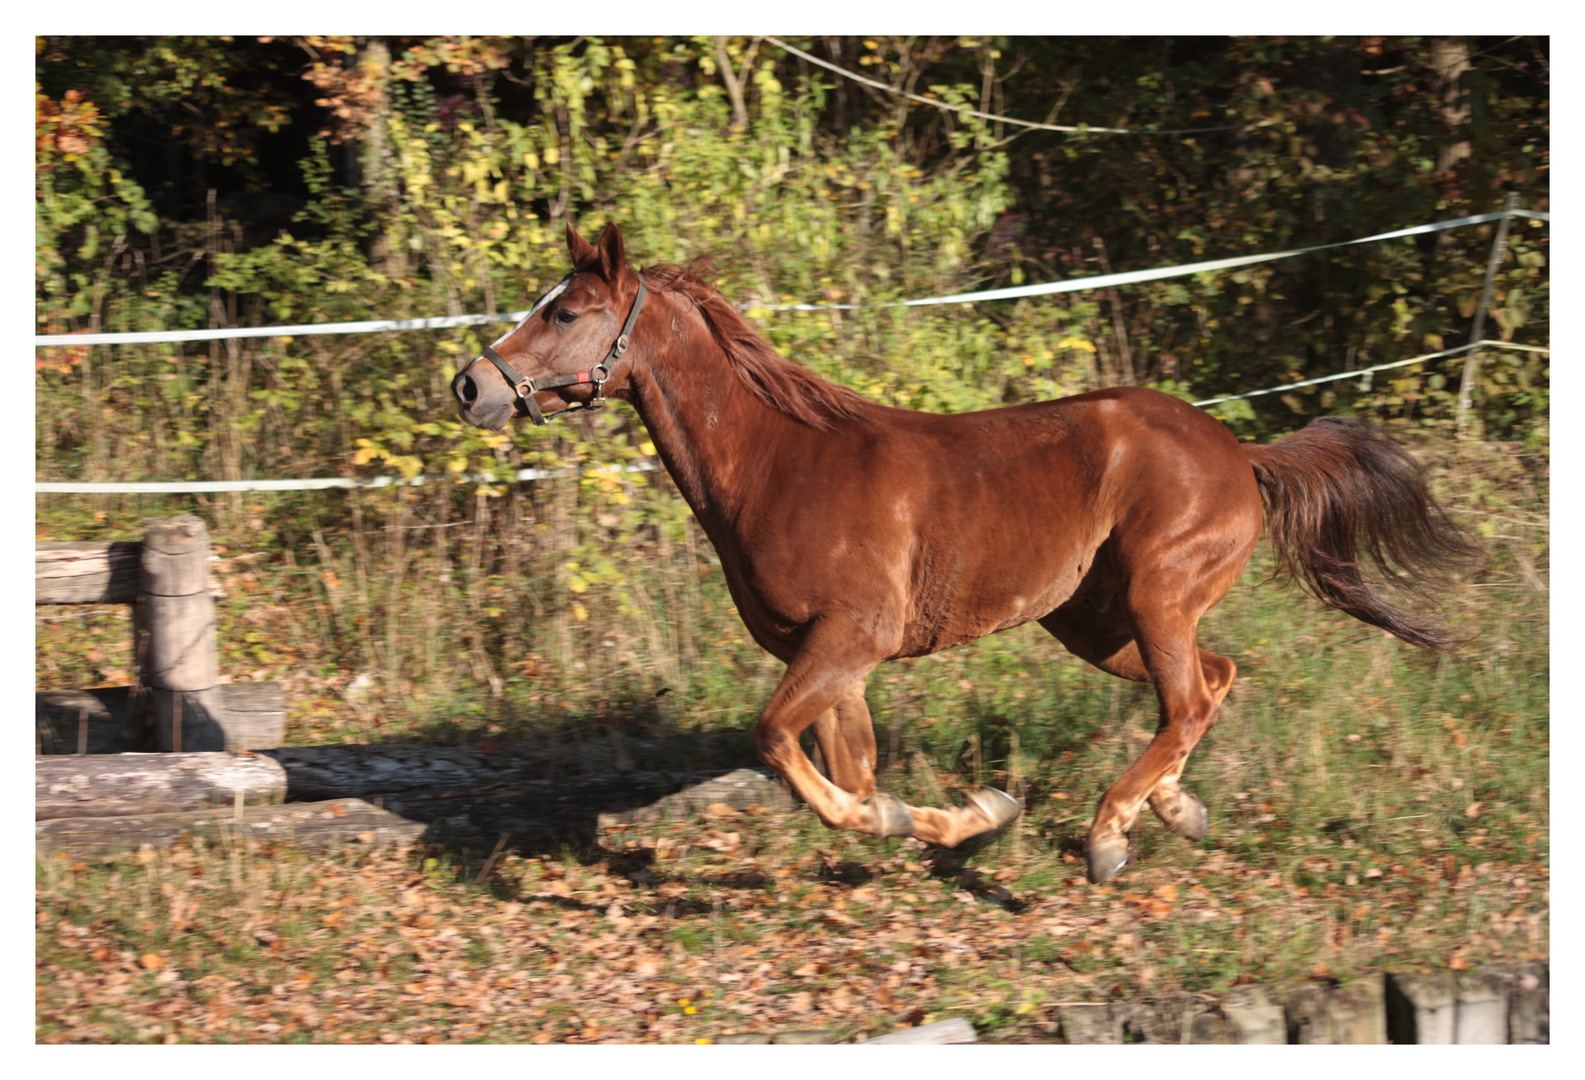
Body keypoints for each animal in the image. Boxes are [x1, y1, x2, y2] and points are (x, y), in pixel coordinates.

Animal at [450, 223, 1470, 881]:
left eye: (567, 313)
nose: (471, 386)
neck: (779, 465)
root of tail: (1237, 451)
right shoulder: (832, 661)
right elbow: (852, 774)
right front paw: (968, 816)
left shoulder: (849, 642)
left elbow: (785, 749)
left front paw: (964, 815)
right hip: (1096, 623)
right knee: (1211, 683)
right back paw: (1172, 810)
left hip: (1155, 598)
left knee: (1186, 699)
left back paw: (1107, 836)